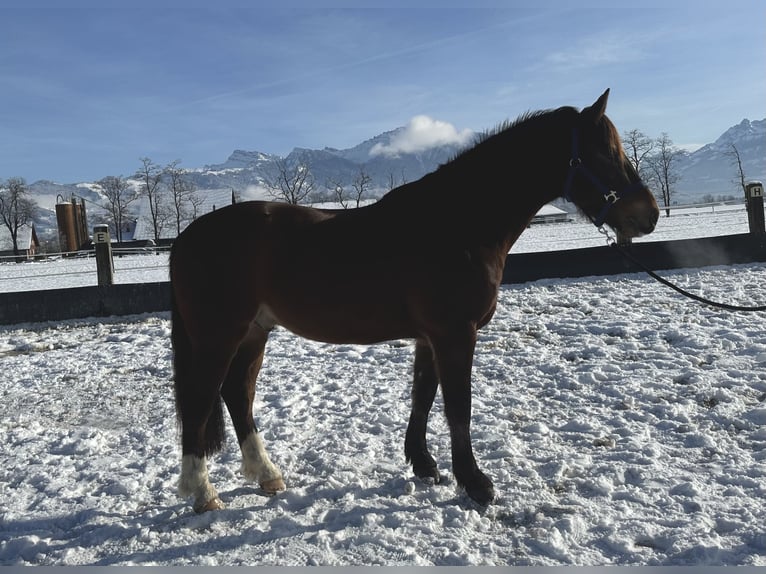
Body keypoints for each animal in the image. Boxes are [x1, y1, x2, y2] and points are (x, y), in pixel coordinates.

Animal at [168, 90, 660, 512]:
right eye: (604, 153)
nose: (648, 215)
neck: (456, 224)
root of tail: (188, 237)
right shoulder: (455, 334)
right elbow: (458, 406)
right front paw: (475, 483)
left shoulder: (430, 337)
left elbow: (422, 396)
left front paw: (424, 465)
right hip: (219, 335)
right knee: (200, 399)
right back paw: (202, 492)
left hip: (254, 332)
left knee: (237, 394)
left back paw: (266, 474)